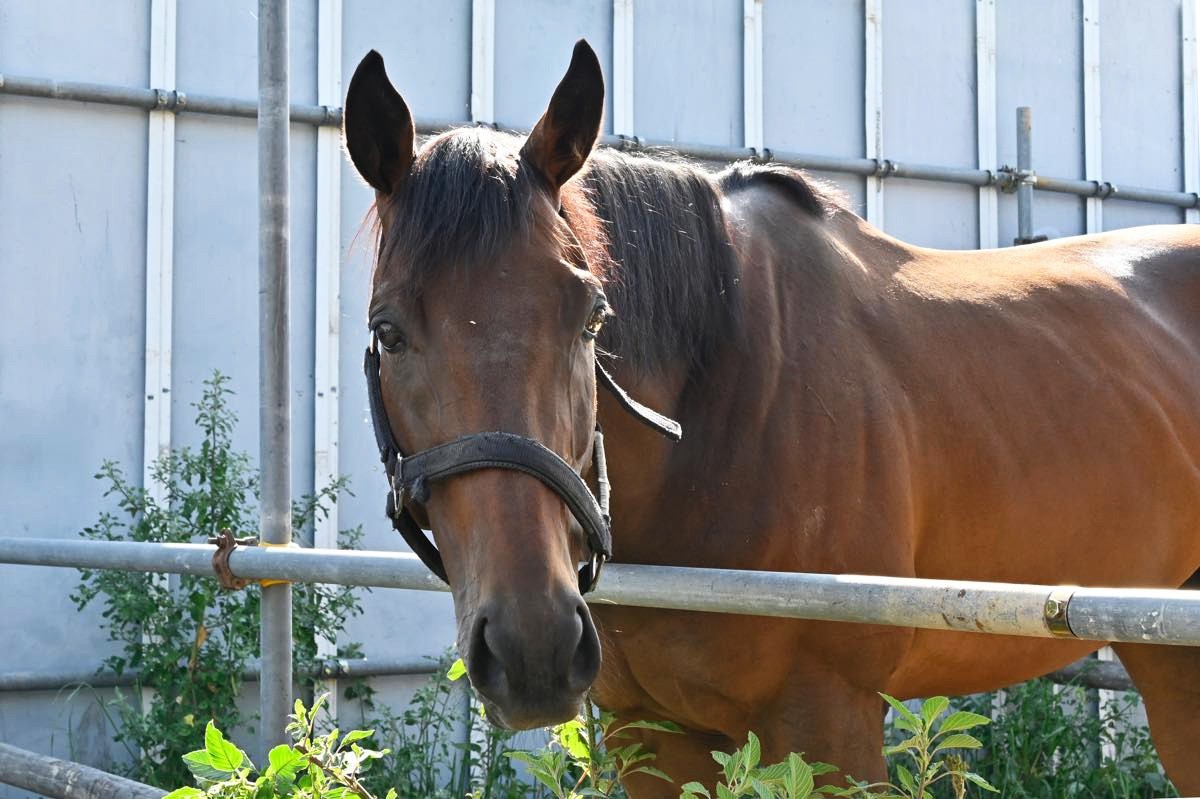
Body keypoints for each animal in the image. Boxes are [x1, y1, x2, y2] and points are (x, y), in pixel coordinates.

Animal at [343, 39, 1200, 796]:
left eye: (590, 319)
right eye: (388, 330)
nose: (534, 647)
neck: (717, 419)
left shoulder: (830, 726)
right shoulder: (647, 733)